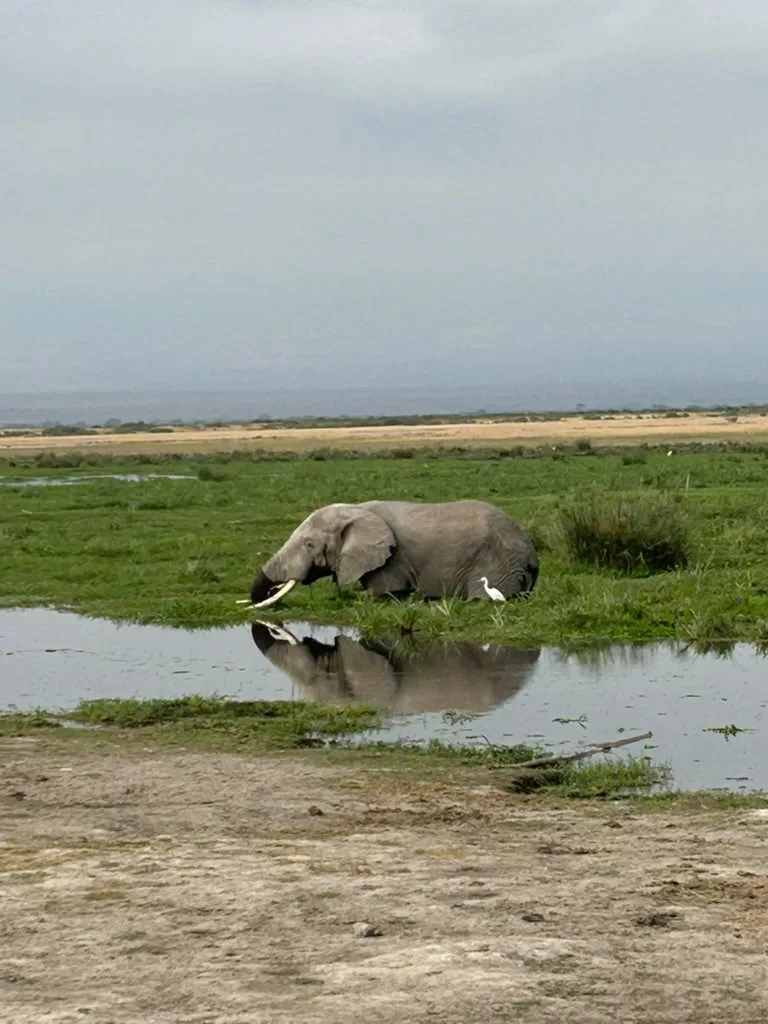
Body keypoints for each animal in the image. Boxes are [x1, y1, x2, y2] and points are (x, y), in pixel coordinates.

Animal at [249, 499, 539, 608]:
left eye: (309, 544)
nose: (271, 591)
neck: (357, 509)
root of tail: (533, 556)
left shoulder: (392, 559)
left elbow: (383, 595)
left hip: (497, 565)